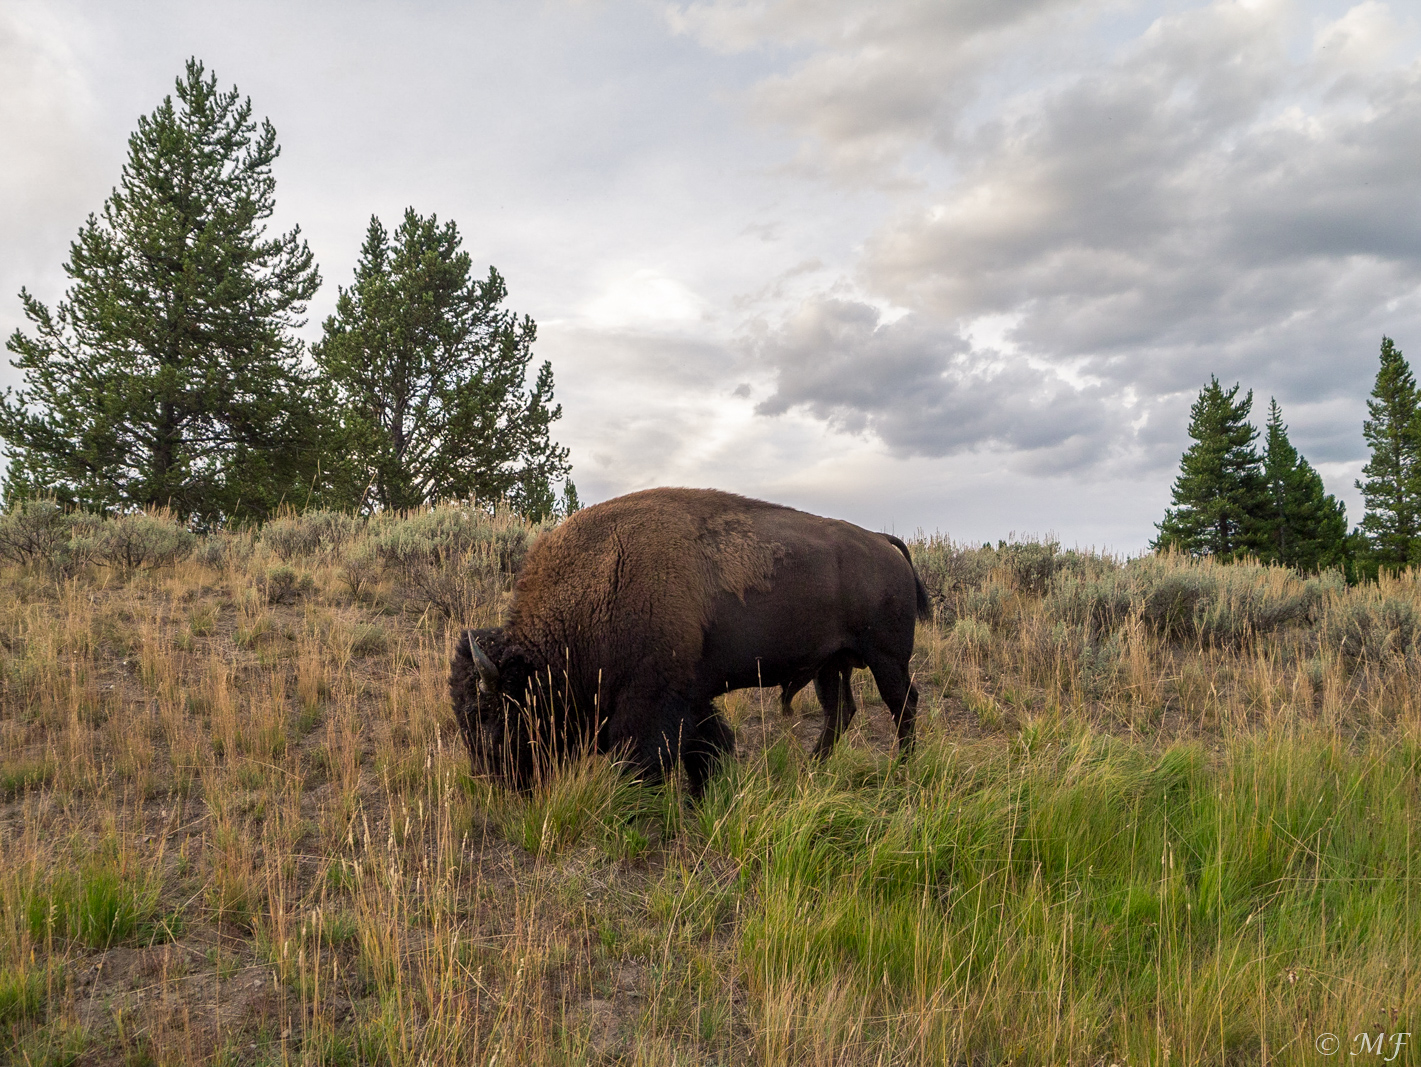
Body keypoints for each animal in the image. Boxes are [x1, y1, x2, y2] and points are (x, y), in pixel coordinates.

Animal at [446, 488, 932, 795]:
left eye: (489, 715)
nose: (492, 781)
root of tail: (882, 542)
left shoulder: (652, 702)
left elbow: (647, 756)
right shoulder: (690, 696)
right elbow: (707, 742)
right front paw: (706, 792)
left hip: (887, 659)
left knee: (902, 705)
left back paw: (903, 770)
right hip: (830, 665)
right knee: (840, 712)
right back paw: (811, 771)